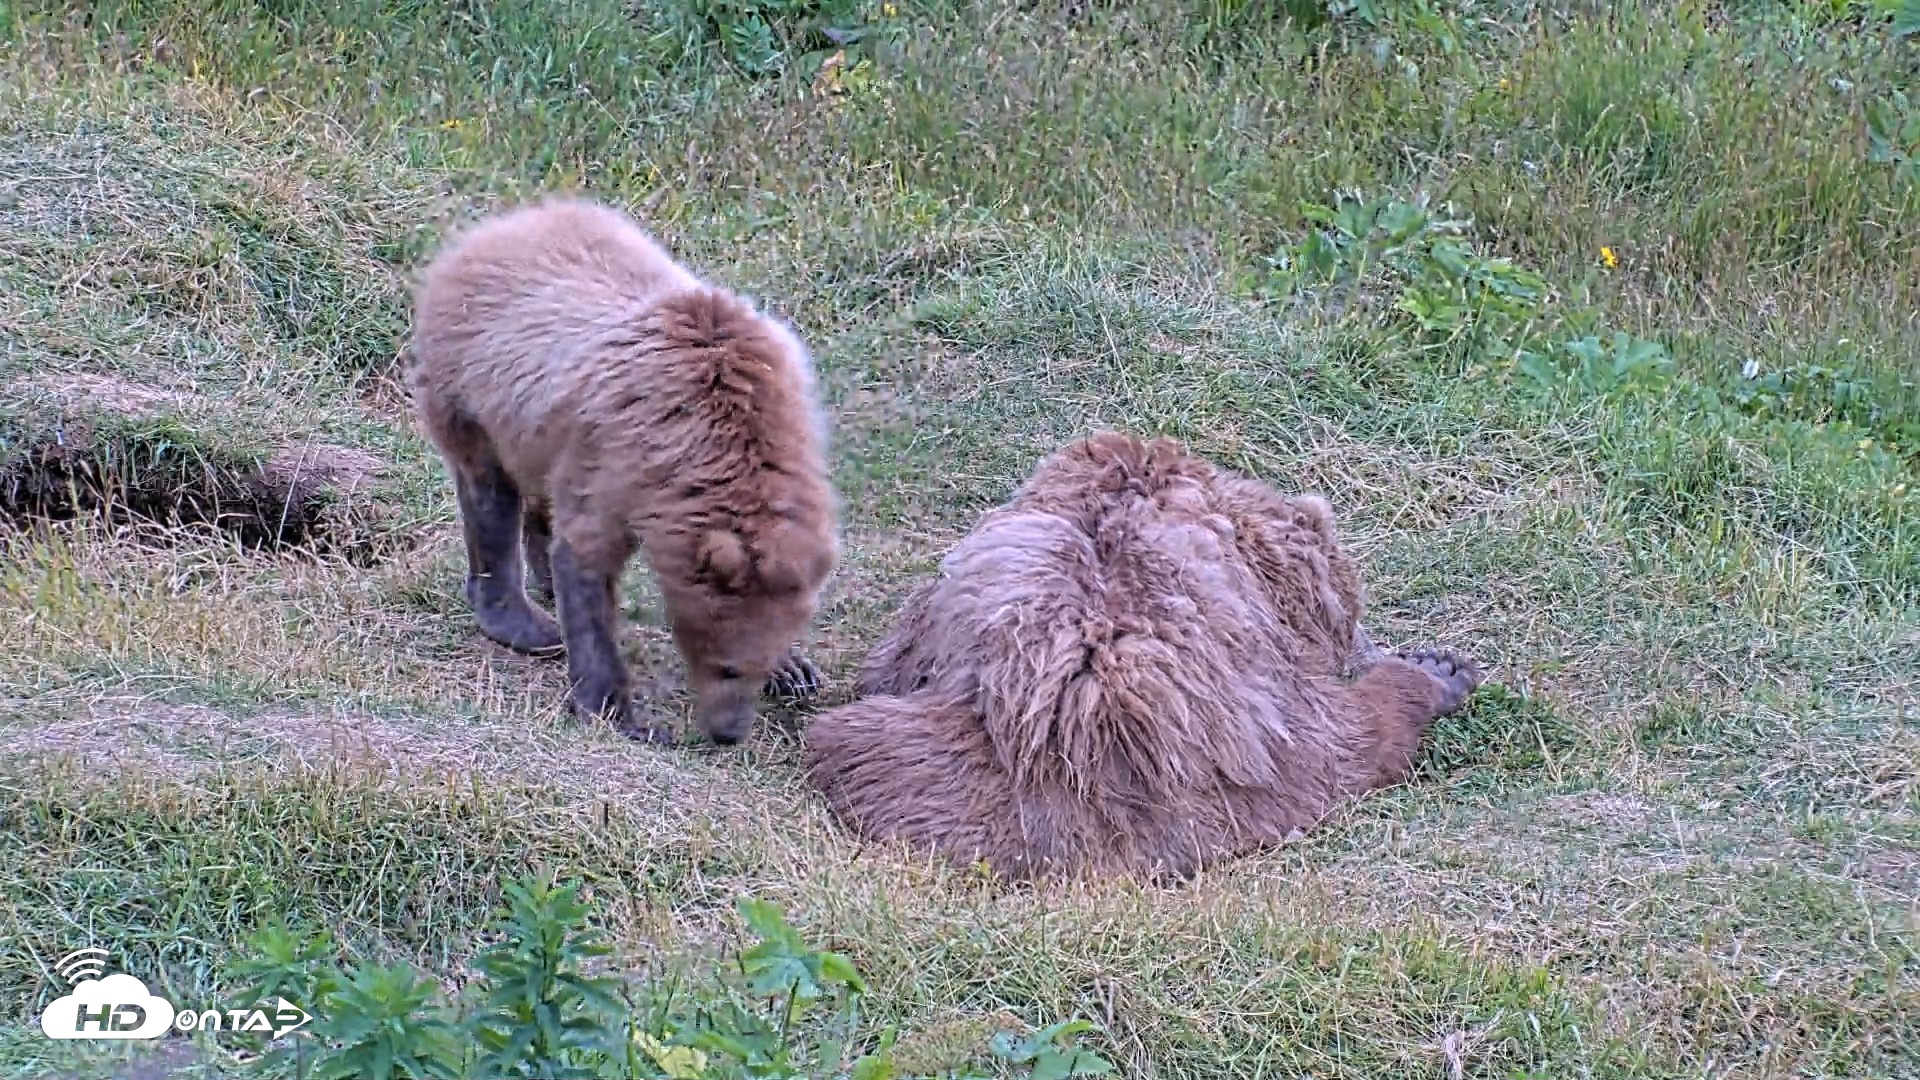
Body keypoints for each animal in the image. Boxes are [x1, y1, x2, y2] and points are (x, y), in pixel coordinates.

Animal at [405, 197, 840, 747]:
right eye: (727, 666)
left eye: (753, 670)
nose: (728, 733)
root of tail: (495, 227)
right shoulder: (621, 456)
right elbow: (588, 558)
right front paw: (618, 711)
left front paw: (795, 670)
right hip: (473, 390)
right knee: (489, 496)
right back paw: (523, 621)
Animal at [801, 431, 1481, 882]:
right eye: (1353, 617)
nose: (1369, 643)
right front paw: (1430, 665)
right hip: (1244, 763)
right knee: (1346, 746)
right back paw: (1434, 680)